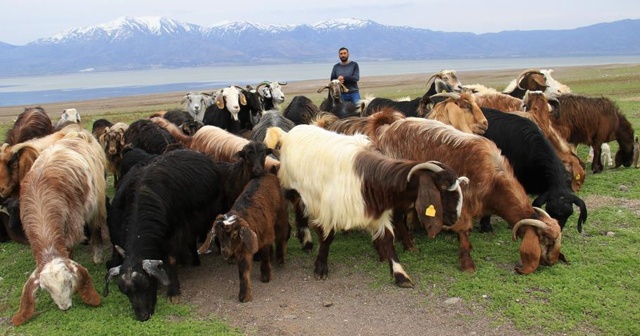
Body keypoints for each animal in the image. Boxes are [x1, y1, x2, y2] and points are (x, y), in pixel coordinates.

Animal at [262, 124, 468, 288]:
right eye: (442, 187)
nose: (454, 217)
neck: (369, 179)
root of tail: (287, 134)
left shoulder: (379, 212)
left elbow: (388, 239)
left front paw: (400, 274)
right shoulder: (331, 209)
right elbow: (328, 238)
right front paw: (321, 268)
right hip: (294, 187)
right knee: (299, 210)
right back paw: (306, 241)